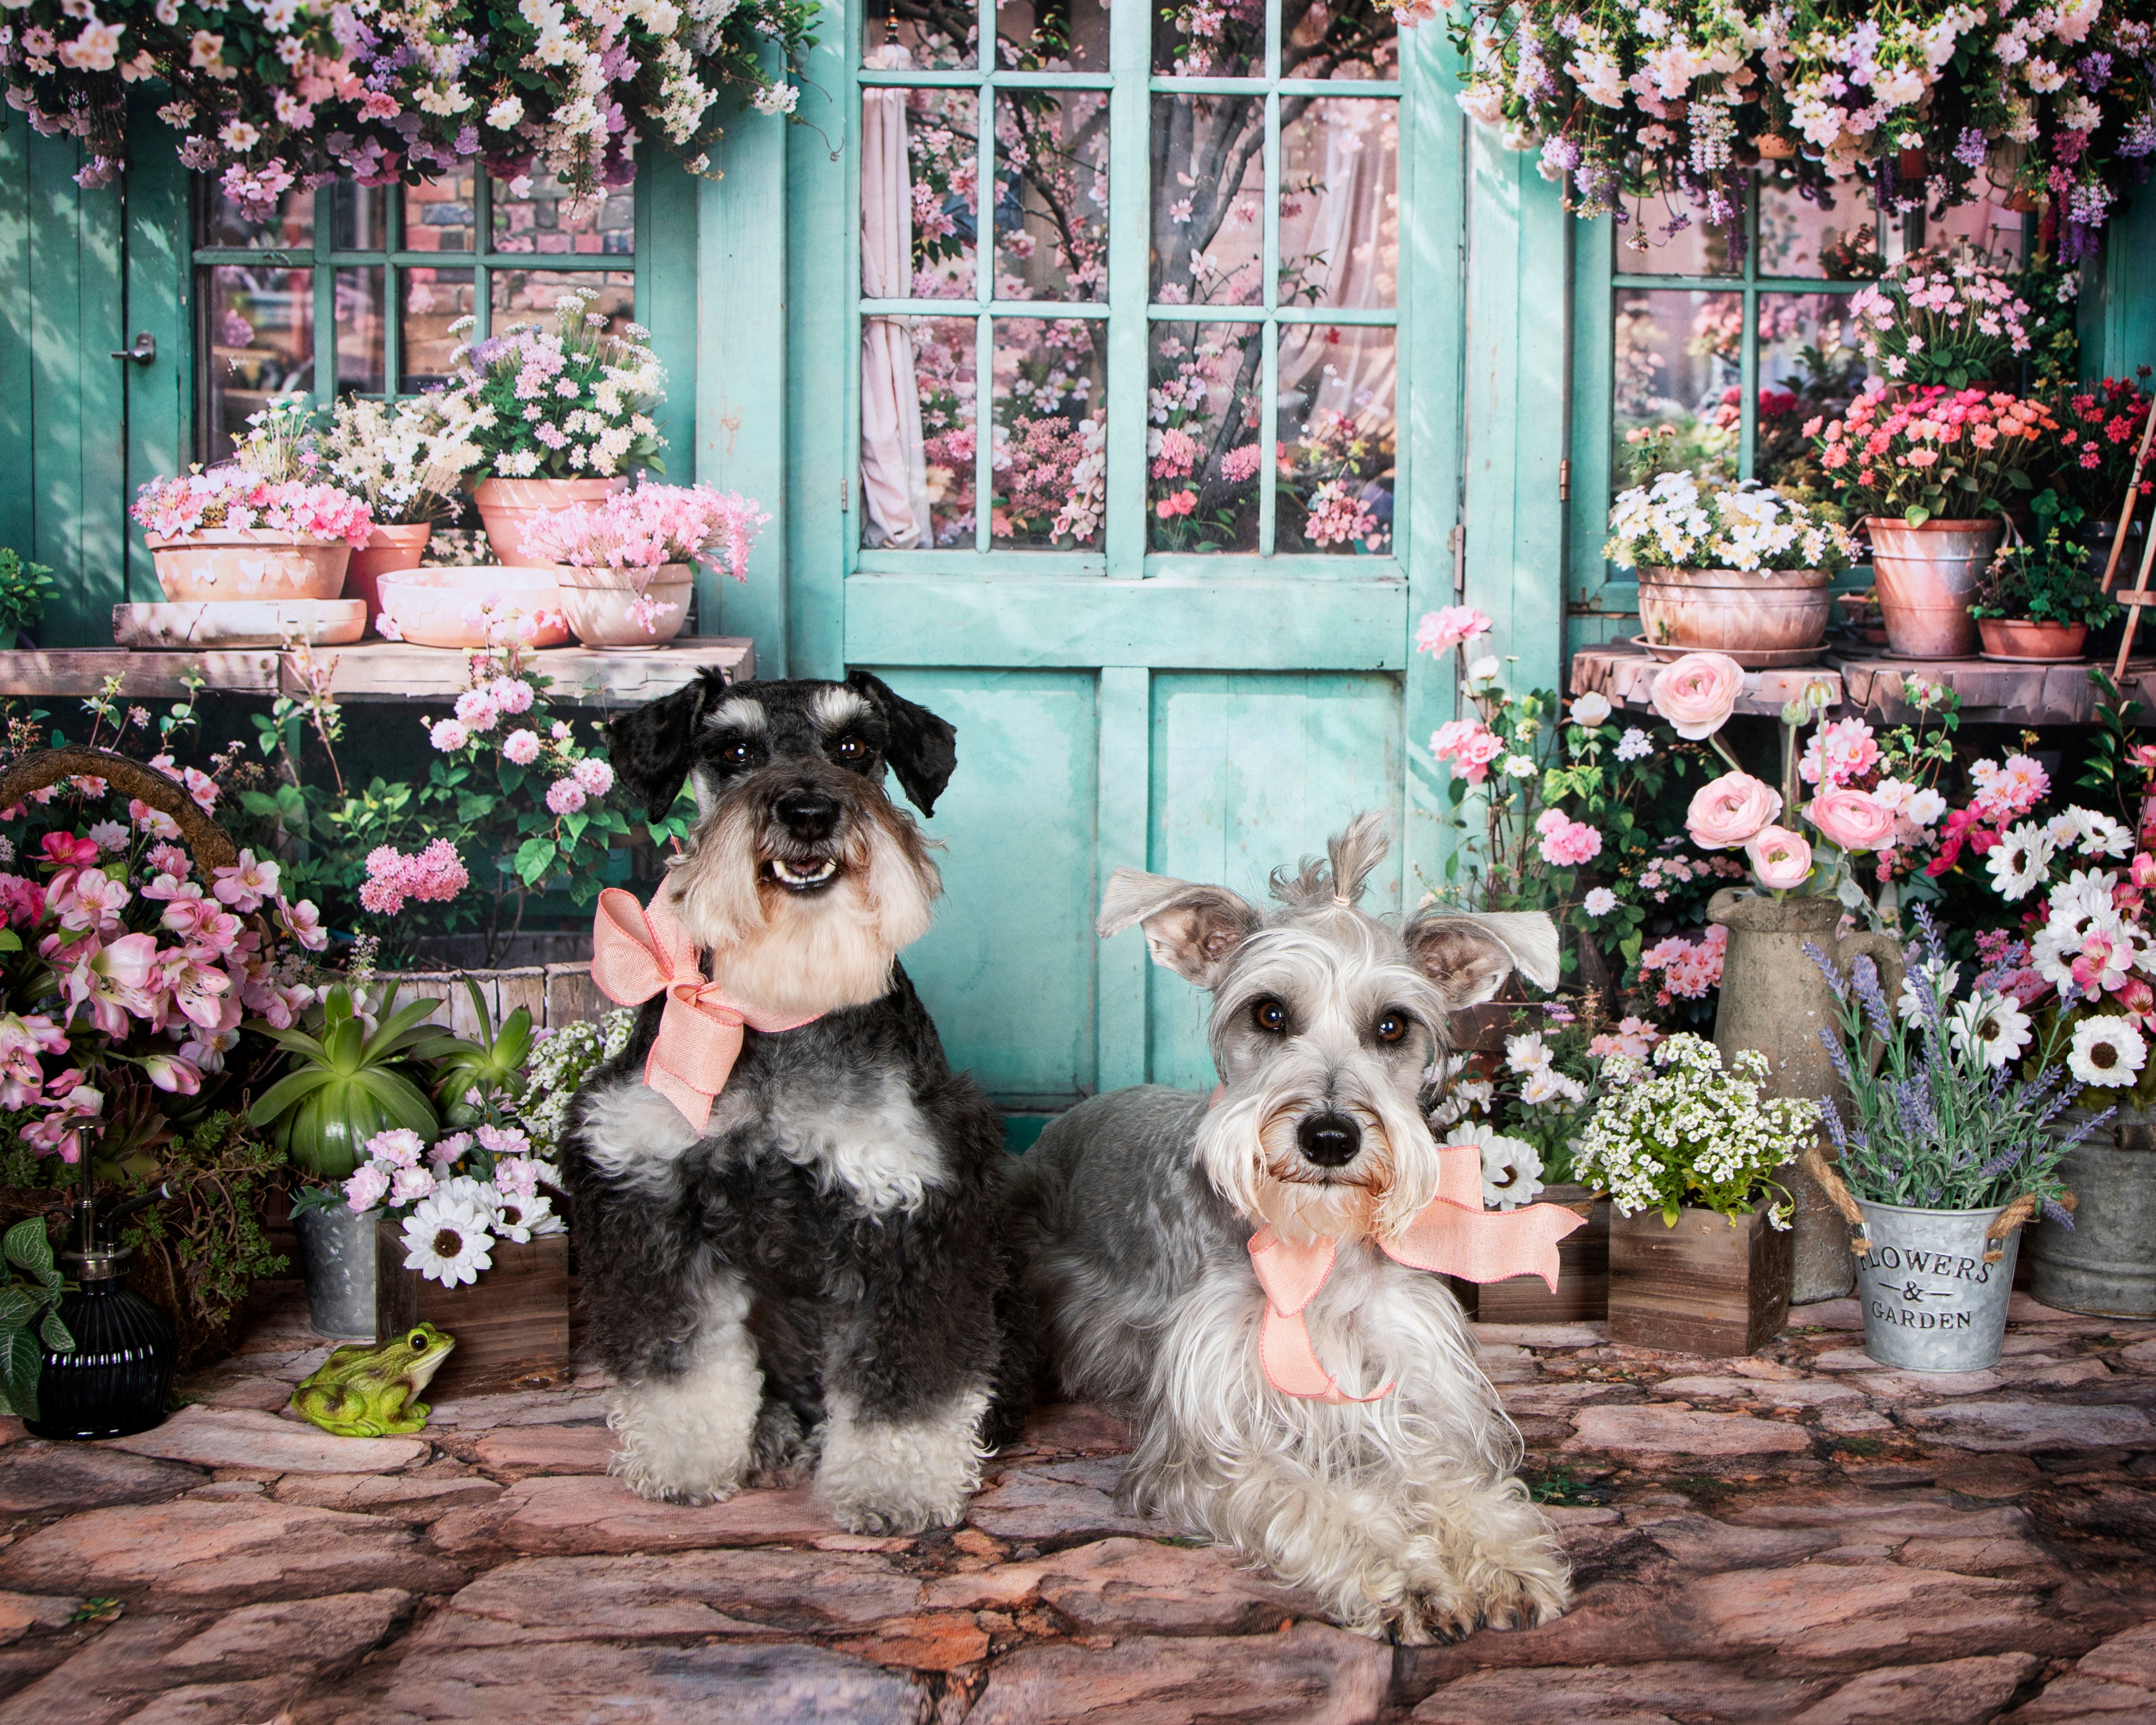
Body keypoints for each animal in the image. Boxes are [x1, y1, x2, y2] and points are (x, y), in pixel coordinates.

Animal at [564, 668, 1034, 1527]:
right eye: (733, 751)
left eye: (854, 746)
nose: (809, 813)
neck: (780, 1004)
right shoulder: (648, 1193)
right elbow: (678, 1363)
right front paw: (683, 1462)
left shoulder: (913, 1214)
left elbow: (907, 1384)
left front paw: (894, 1487)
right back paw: (771, 1431)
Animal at [1013, 815, 1587, 1639]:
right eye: (1269, 1012)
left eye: (1392, 1024)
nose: (1329, 1136)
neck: (1316, 1253)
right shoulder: (1213, 1446)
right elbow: (1316, 1498)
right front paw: (1409, 1575)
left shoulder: (1416, 1392)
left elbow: (1456, 1480)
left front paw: (1501, 1558)